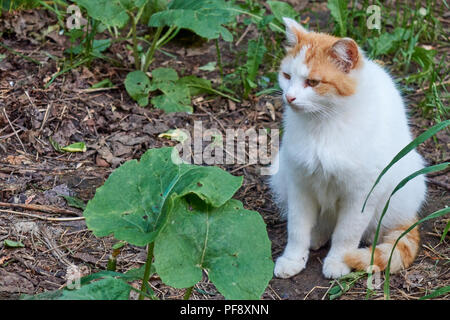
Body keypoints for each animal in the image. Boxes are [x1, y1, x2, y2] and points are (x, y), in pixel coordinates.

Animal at [268, 17, 428, 278]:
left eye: (313, 82)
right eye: (286, 75)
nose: (289, 97)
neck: (323, 124)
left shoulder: (361, 195)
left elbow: (346, 233)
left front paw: (339, 261)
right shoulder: (300, 185)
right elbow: (297, 228)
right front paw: (293, 258)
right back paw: (317, 236)